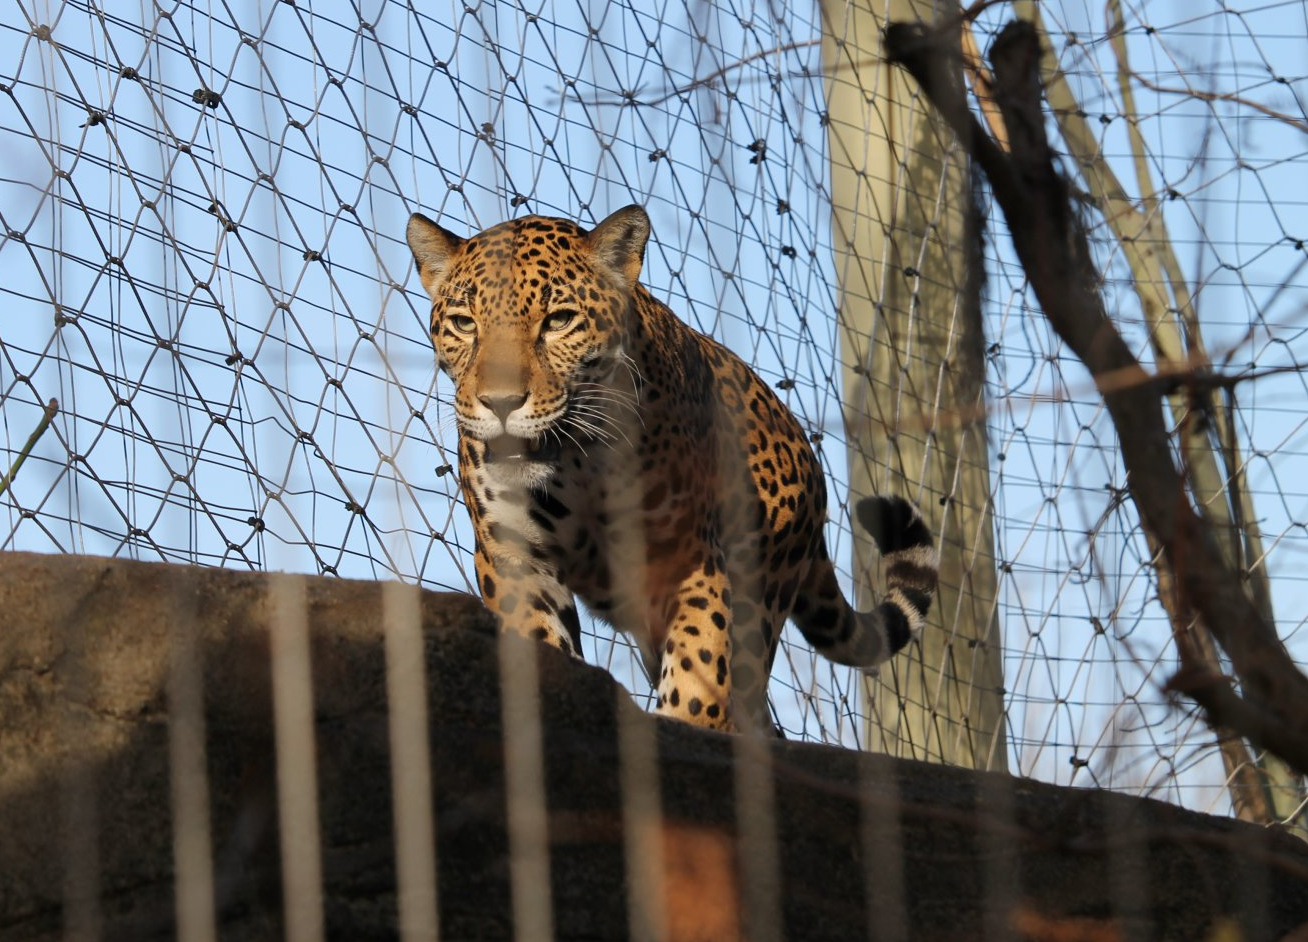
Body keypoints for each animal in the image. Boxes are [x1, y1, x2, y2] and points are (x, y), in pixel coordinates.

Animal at [406, 204, 938, 733]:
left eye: (559, 320)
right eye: (464, 323)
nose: (500, 404)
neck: (577, 461)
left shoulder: (692, 562)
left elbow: (699, 680)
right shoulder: (517, 558)